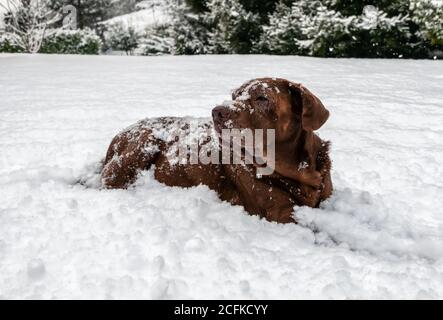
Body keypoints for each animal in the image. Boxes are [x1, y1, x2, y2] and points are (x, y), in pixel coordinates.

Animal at [102, 78, 332, 222]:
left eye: (262, 98)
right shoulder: (281, 213)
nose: (217, 112)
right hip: (142, 144)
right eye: (234, 95)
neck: (299, 172)